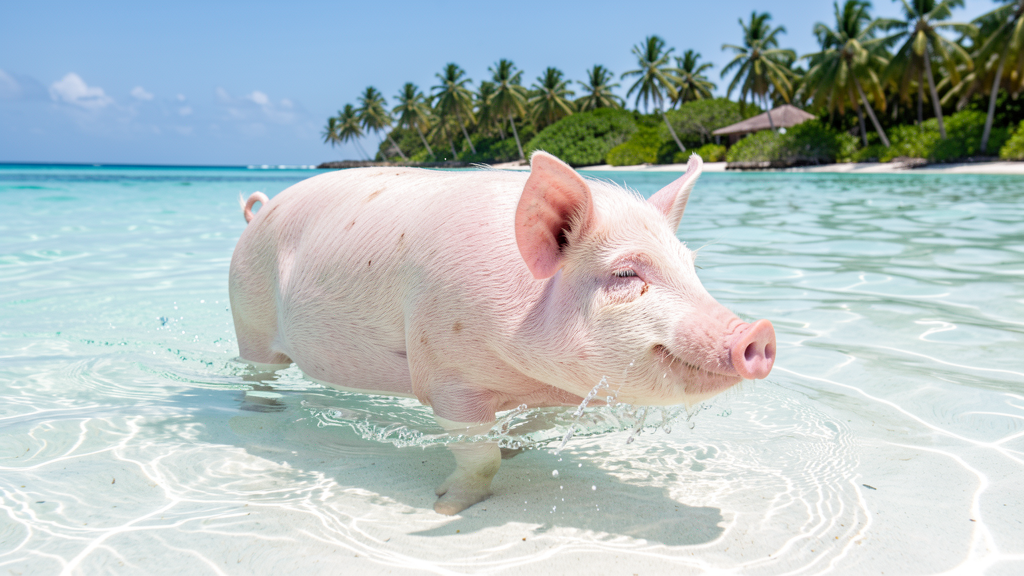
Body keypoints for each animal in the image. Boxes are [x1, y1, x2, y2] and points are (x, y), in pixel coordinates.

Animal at [229, 152, 775, 515]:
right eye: (625, 274)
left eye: (692, 267)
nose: (760, 331)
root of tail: (259, 212)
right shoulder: (446, 374)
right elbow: (480, 455)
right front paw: (444, 507)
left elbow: (522, 432)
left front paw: (513, 447)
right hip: (247, 314)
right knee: (257, 373)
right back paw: (262, 414)